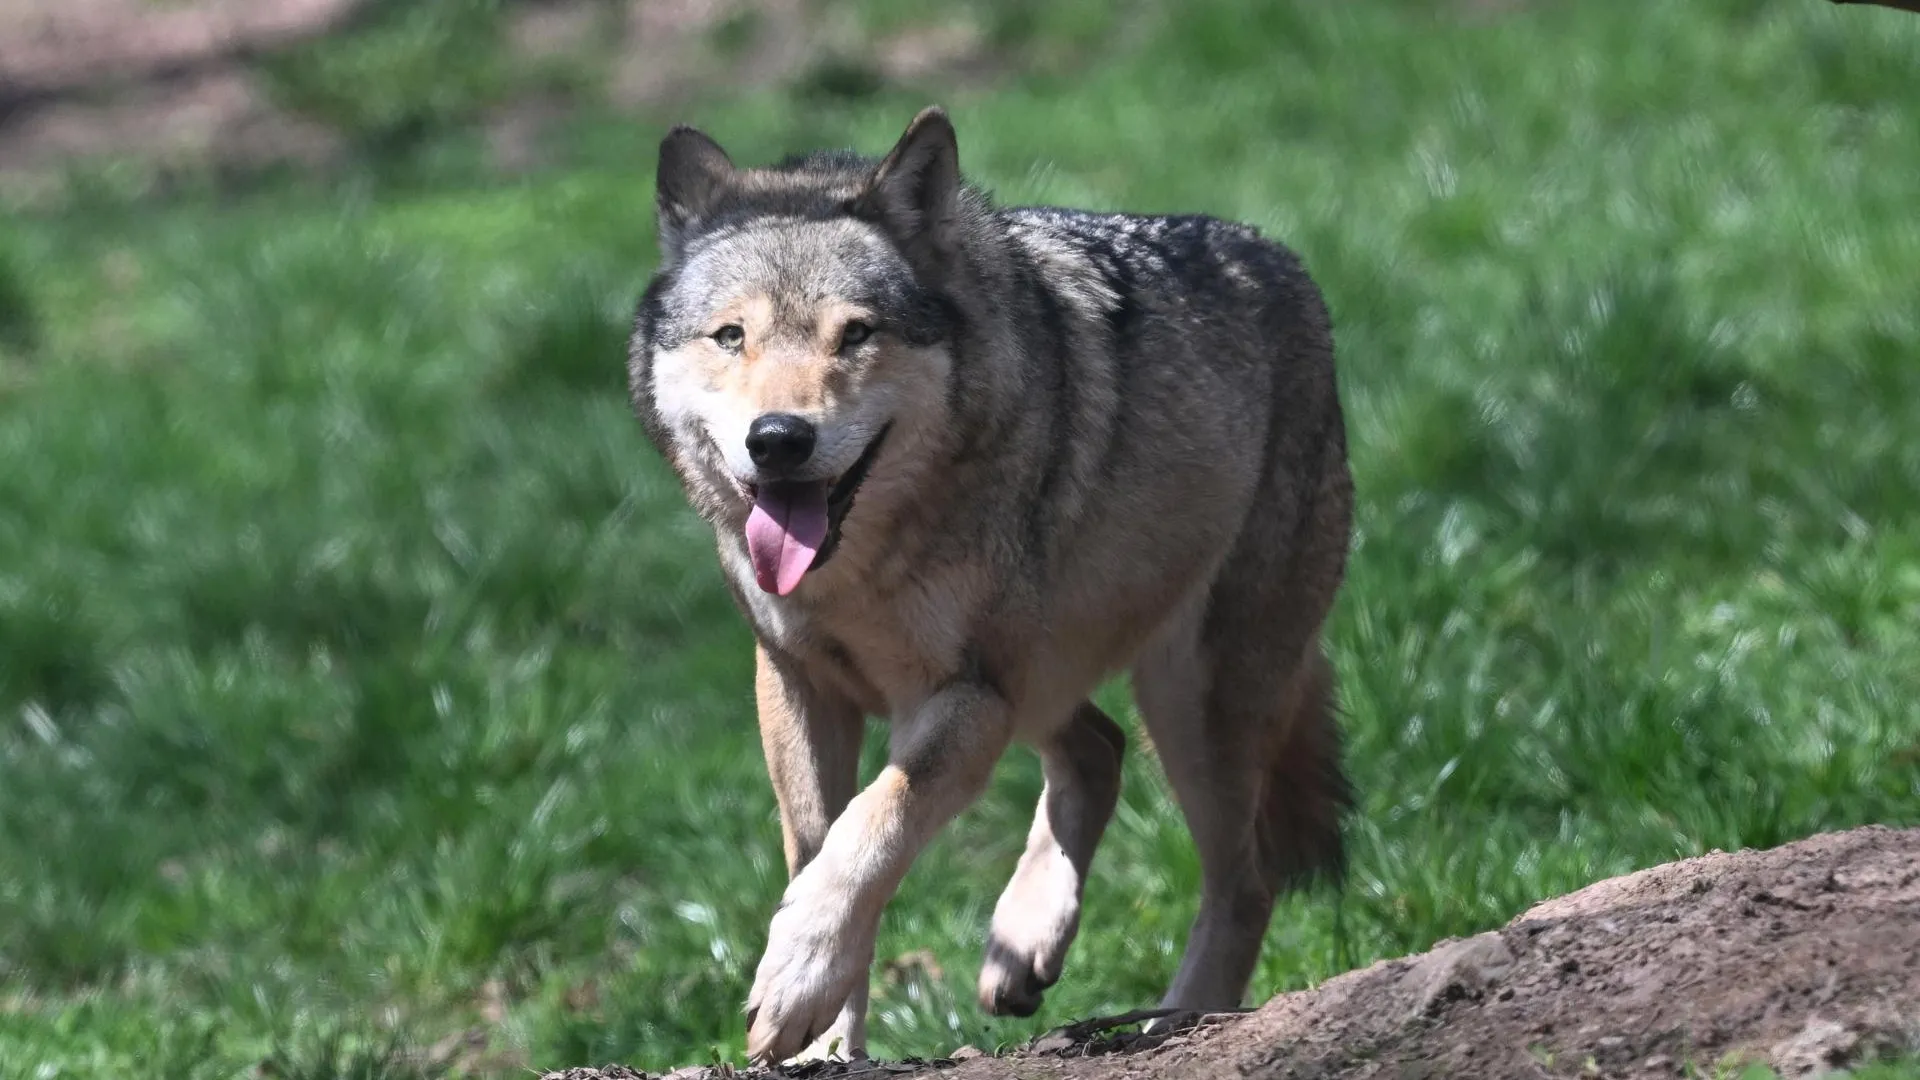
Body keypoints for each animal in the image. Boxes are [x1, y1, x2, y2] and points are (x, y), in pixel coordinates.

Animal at [627, 106, 1354, 1066]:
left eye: (855, 334)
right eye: (731, 337)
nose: (778, 439)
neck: (862, 574)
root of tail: (1285, 264)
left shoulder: (965, 694)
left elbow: (870, 831)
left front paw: (795, 980)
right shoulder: (797, 684)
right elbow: (821, 853)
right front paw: (824, 1041)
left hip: (1189, 698)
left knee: (1246, 876)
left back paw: (1178, 1022)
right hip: (1057, 678)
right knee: (1098, 750)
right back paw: (1024, 946)